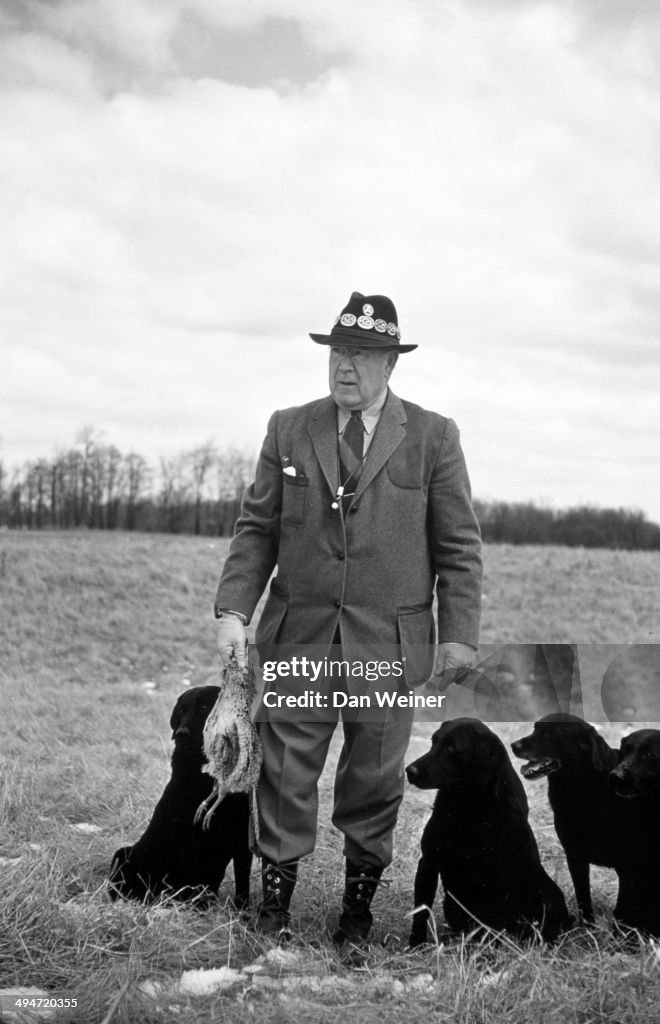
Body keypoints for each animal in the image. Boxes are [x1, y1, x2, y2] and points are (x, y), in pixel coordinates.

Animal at [107, 684, 252, 909]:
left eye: (204, 707)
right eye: (181, 711)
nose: (181, 734)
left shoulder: (242, 839)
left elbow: (242, 885)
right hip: (123, 854)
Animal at [403, 716, 568, 946]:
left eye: (451, 749)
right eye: (433, 741)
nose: (410, 770)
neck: (469, 806)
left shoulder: (501, 873)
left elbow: (496, 917)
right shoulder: (428, 860)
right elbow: (420, 911)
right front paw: (416, 945)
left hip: (547, 890)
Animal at [511, 712, 622, 921]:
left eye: (552, 734)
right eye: (535, 728)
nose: (514, 745)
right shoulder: (575, 856)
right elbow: (583, 899)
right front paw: (587, 926)